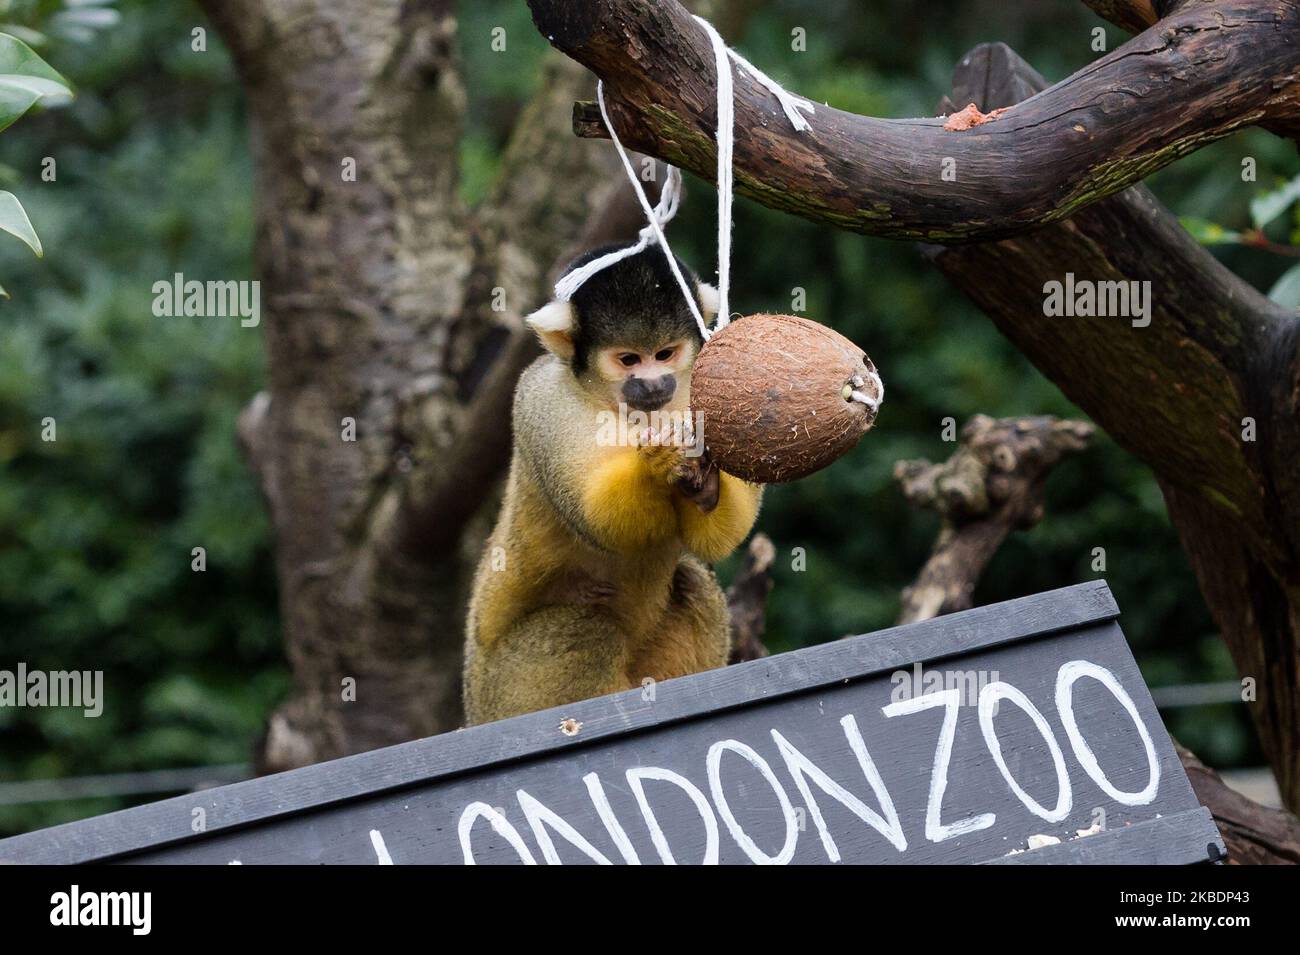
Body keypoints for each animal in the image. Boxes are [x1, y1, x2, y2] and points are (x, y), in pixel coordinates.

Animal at [465, 244, 759, 722]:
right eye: (628, 361)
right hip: (505, 695)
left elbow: (715, 538)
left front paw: (706, 488)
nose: (654, 384)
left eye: (665, 354)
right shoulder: (545, 399)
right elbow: (597, 518)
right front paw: (657, 462)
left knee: (694, 584)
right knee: (584, 627)